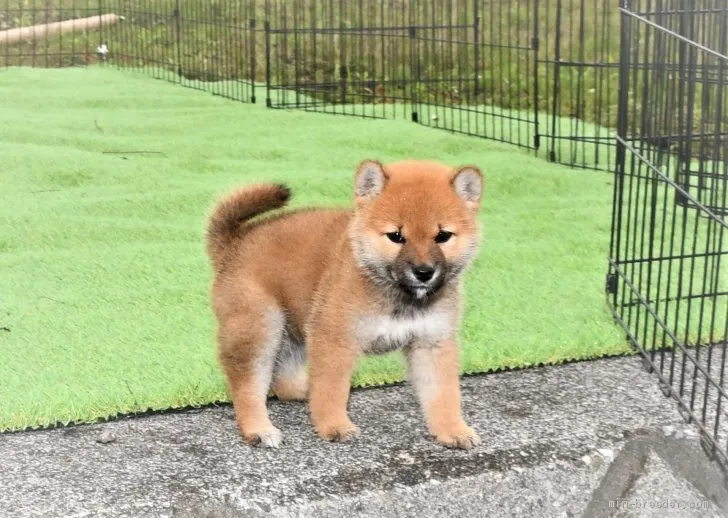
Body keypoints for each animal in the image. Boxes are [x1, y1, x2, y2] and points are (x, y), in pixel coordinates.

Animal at [205, 158, 484, 450]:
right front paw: (334, 425)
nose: (423, 272)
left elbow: (444, 395)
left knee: (283, 376)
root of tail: (236, 242)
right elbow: (332, 389)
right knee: (247, 386)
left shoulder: (432, 343)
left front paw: (453, 430)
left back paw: (304, 390)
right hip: (259, 327)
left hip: (293, 328)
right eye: (396, 236)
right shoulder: (335, 338)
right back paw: (258, 429)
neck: (394, 293)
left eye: (443, 236)